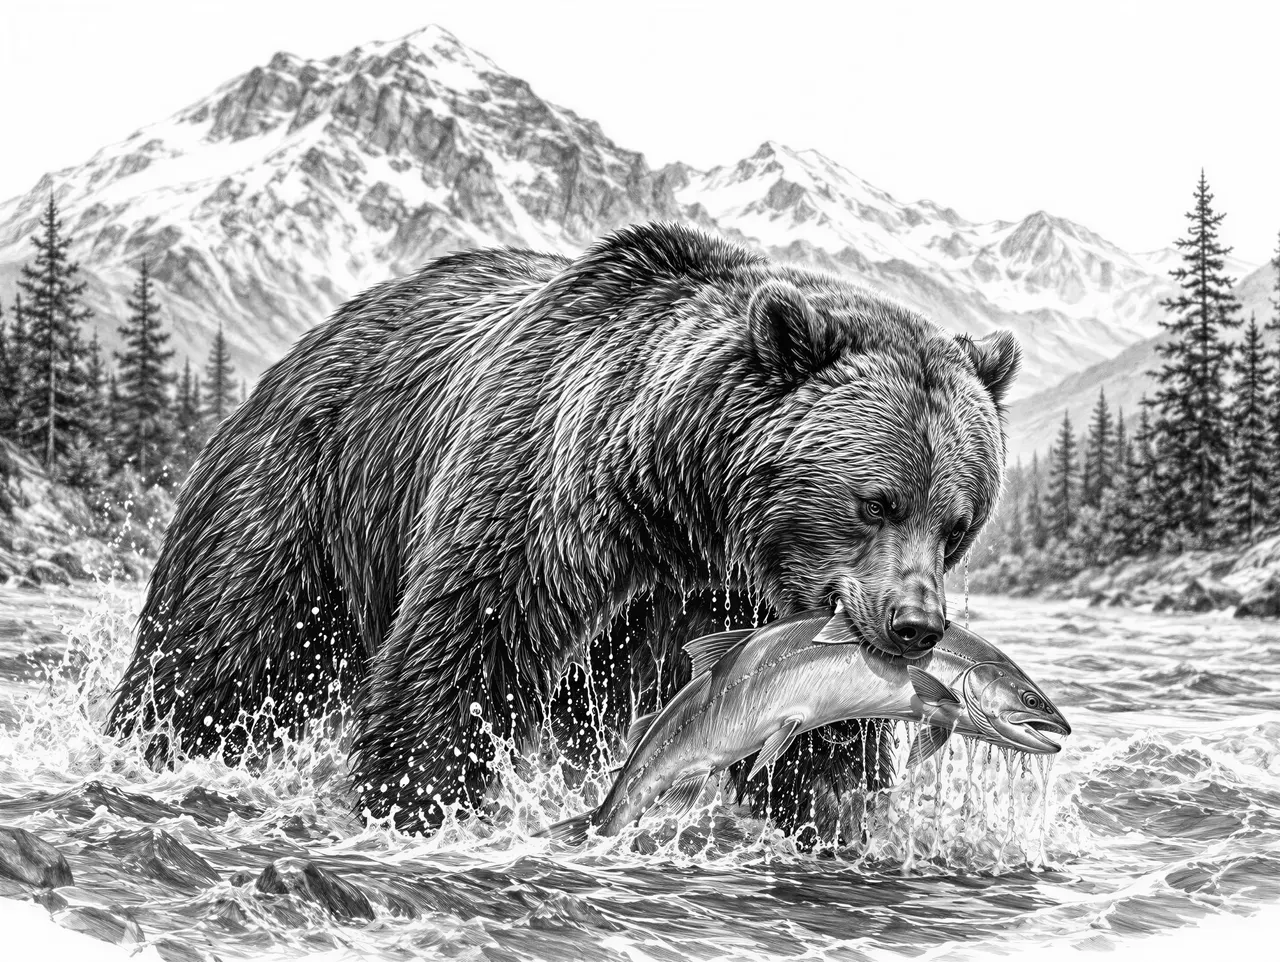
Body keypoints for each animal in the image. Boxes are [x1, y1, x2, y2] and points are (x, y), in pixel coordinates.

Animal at [108, 222, 1019, 837]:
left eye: (957, 523)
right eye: (877, 502)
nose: (915, 625)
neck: (687, 504)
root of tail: (310, 339)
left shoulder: (762, 615)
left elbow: (814, 741)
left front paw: (833, 820)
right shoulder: (549, 506)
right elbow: (460, 654)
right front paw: (415, 803)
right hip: (303, 496)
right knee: (221, 654)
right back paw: (151, 747)